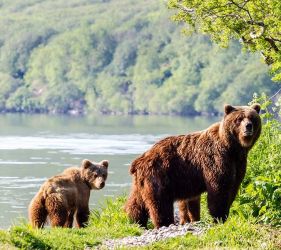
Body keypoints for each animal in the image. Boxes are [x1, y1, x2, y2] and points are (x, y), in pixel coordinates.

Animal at [124, 103, 260, 229]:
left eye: (252, 118)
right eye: (239, 119)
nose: (248, 126)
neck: (233, 148)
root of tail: (139, 160)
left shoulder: (238, 164)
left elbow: (233, 188)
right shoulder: (216, 159)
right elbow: (219, 189)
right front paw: (219, 217)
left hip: (142, 181)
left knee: (136, 201)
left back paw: (135, 220)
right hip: (159, 174)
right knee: (160, 202)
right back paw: (165, 223)